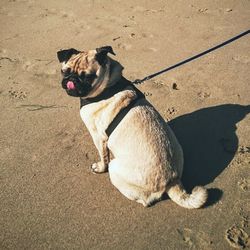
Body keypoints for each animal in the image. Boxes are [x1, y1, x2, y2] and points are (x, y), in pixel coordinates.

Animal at [56, 46, 207, 208]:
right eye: (64, 71)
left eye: (87, 77)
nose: (71, 80)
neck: (108, 86)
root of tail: (173, 180)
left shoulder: (98, 137)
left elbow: (103, 156)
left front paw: (100, 167)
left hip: (114, 168)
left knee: (144, 199)